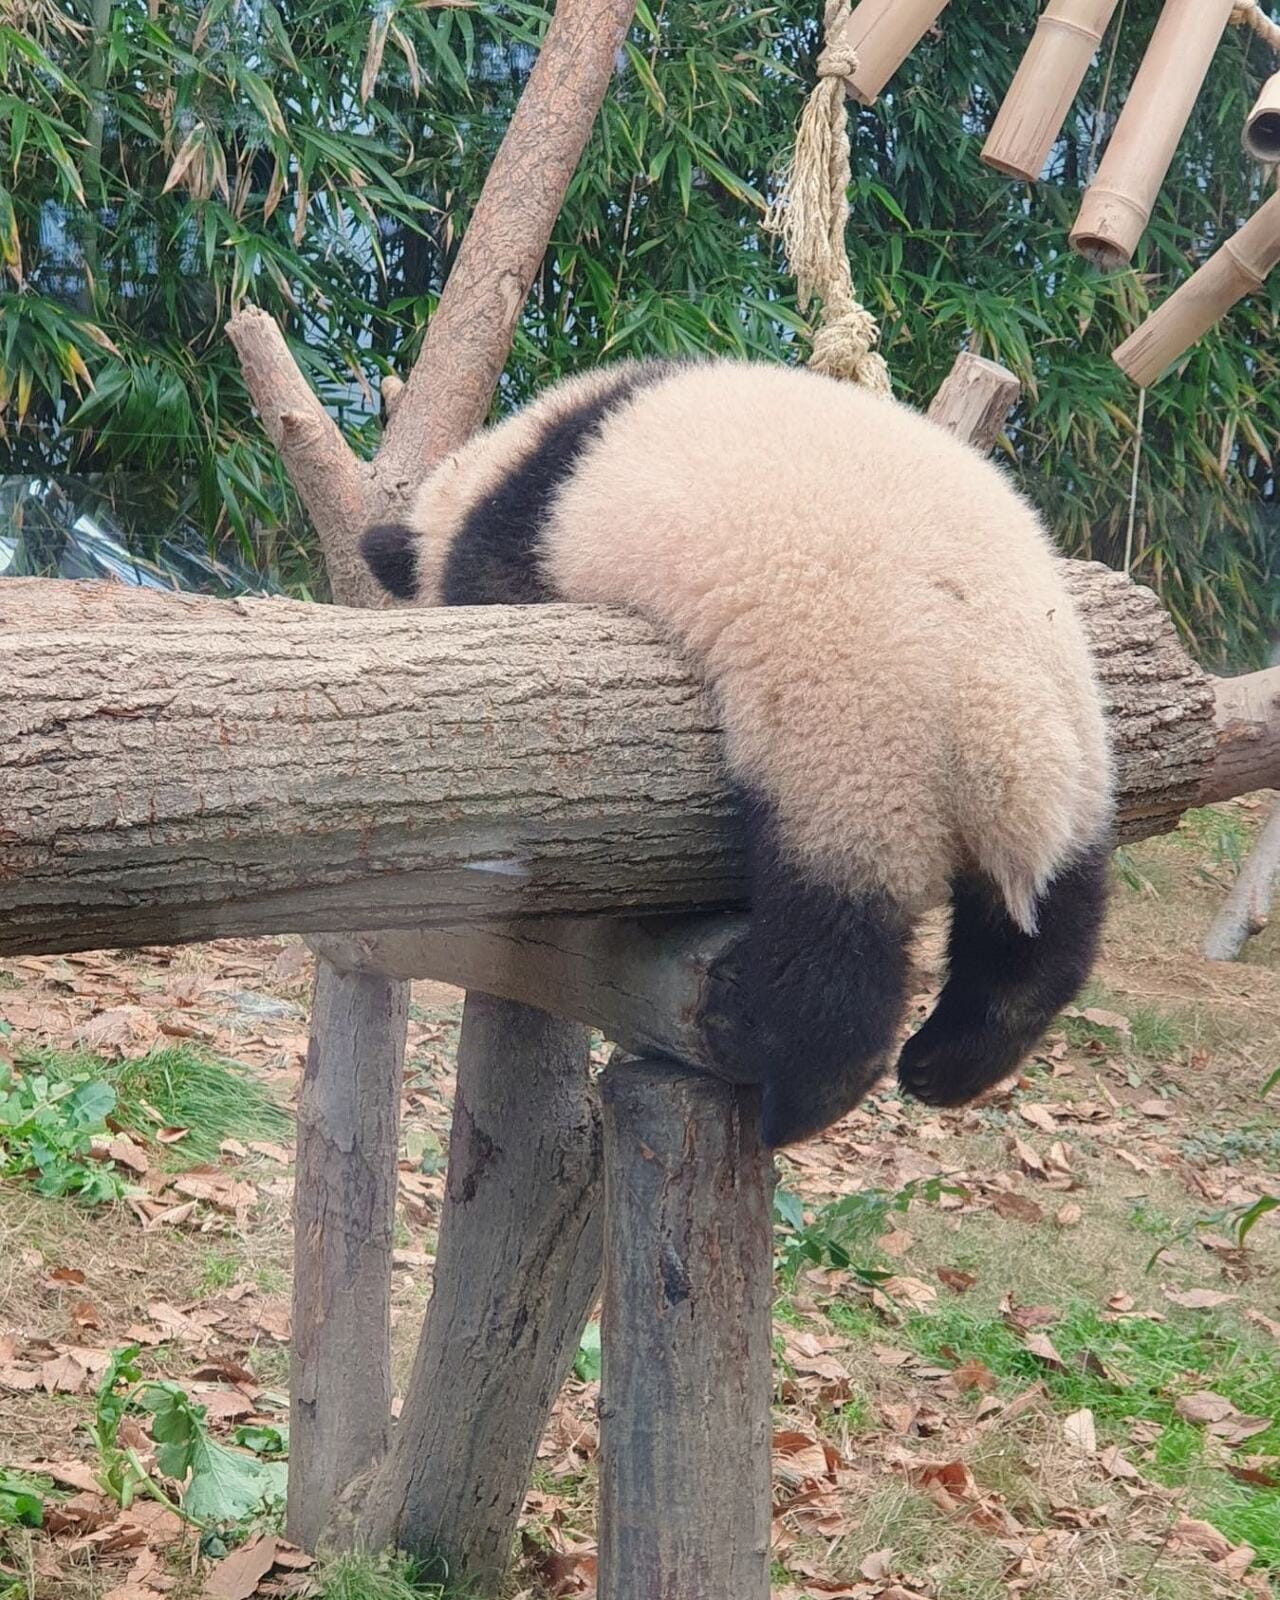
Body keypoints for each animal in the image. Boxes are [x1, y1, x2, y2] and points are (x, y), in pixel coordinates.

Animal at [364, 356, 1113, 1145]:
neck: (504, 461)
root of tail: (999, 724)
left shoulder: (521, 535)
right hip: (1077, 738)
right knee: (1051, 918)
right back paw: (962, 1053)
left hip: (858, 739)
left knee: (835, 931)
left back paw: (806, 1094)